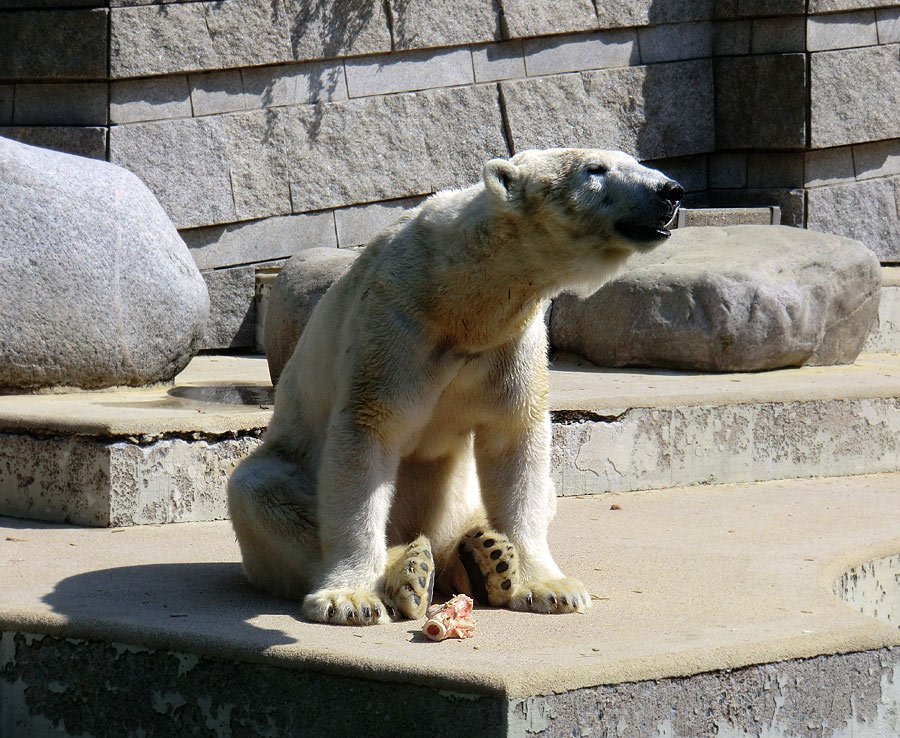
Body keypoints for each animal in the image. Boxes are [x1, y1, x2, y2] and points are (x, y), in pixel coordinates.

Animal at [227, 147, 684, 624]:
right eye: (595, 170)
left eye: (631, 160)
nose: (670, 190)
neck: (461, 297)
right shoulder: (394, 326)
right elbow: (368, 435)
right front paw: (349, 599)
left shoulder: (510, 341)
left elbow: (516, 442)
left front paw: (550, 588)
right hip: (288, 462)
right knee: (259, 492)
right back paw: (411, 568)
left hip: (462, 500)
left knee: (536, 492)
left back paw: (483, 556)